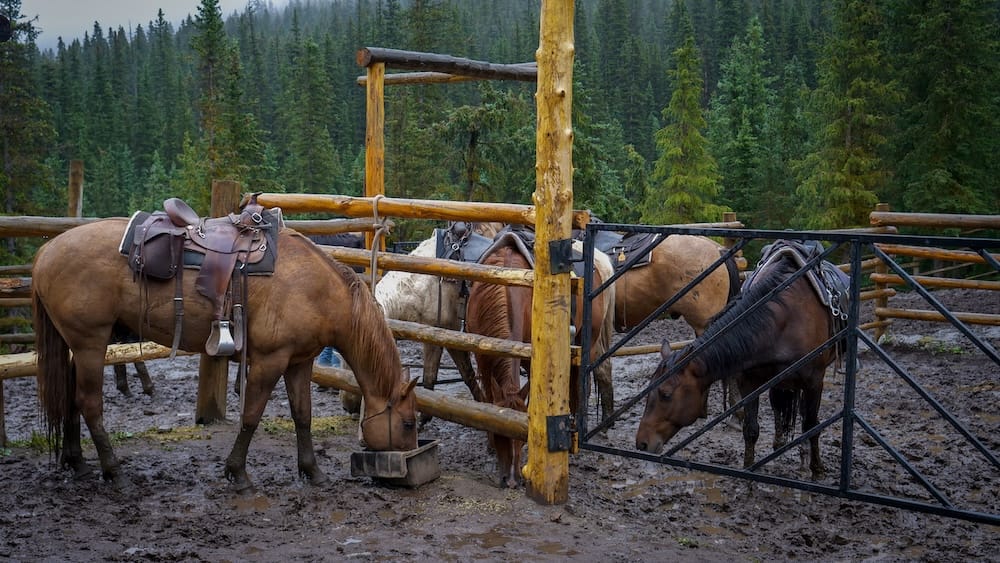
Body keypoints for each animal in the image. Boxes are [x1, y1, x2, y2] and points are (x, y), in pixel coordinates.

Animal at [32, 218, 419, 492]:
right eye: (409, 423)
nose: (406, 461)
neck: (318, 291)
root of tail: (45, 253)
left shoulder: (299, 362)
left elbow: (303, 415)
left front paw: (313, 471)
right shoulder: (269, 360)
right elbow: (251, 415)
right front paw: (238, 473)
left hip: (76, 346)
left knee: (69, 397)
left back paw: (78, 464)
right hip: (91, 343)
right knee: (89, 403)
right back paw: (114, 472)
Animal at [465, 230, 616, 488]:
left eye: (522, 436)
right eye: (500, 434)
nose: (512, 480)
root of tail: (600, 262)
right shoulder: (482, 357)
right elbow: (488, 399)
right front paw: (489, 443)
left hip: (588, 340)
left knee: (582, 383)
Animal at [635, 242, 843, 477]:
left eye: (666, 394)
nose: (641, 443)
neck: (785, 318)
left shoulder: (814, 382)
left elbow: (811, 425)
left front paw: (817, 469)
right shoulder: (749, 382)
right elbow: (751, 429)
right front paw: (748, 471)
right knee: (778, 404)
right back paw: (780, 442)